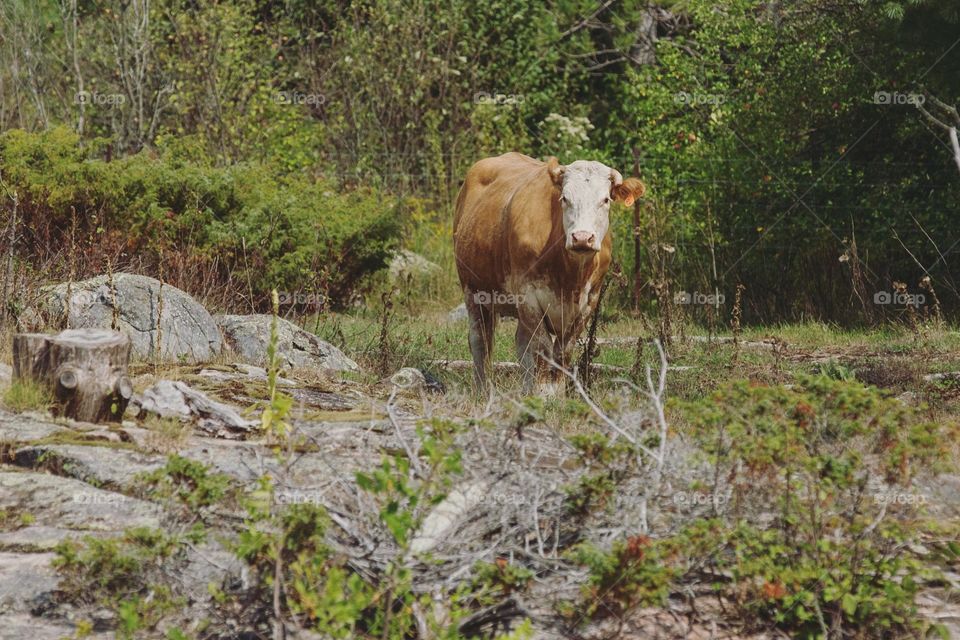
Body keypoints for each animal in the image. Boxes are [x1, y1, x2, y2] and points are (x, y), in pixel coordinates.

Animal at [452, 152, 644, 392]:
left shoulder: (589, 301)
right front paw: (543, 392)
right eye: (564, 198)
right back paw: (483, 389)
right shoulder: (528, 297)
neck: (570, 278)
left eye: (605, 200)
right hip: (474, 291)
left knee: (521, 344)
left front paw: (556, 392)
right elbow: (543, 348)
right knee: (480, 341)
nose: (582, 238)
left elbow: (563, 351)